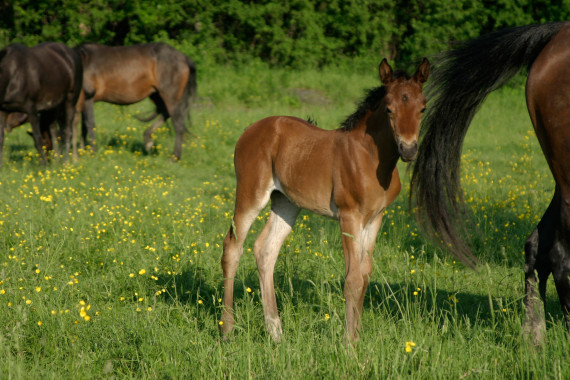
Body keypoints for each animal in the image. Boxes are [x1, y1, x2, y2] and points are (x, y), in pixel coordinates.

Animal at [220, 58, 428, 342]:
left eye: (423, 108)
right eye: (389, 109)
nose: (408, 150)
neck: (370, 158)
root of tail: (249, 129)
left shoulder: (375, 219)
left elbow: (365, 275)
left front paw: (357, 338)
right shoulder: (349, 216)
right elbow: (353, 279)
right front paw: (349, 344)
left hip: (286, 202)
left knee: (265, 250)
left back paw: (277, 335)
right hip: (251, 194)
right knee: (232, 247)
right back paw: (227, 330)